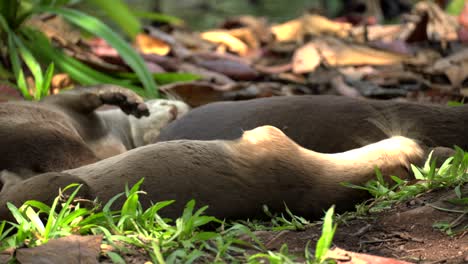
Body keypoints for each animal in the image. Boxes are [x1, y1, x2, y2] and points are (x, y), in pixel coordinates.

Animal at [0, 84, 190, 175]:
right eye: (163, 103)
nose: (174, 111)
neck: (108, 130)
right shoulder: (57, 102)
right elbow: (87, 93)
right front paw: (126, 99)